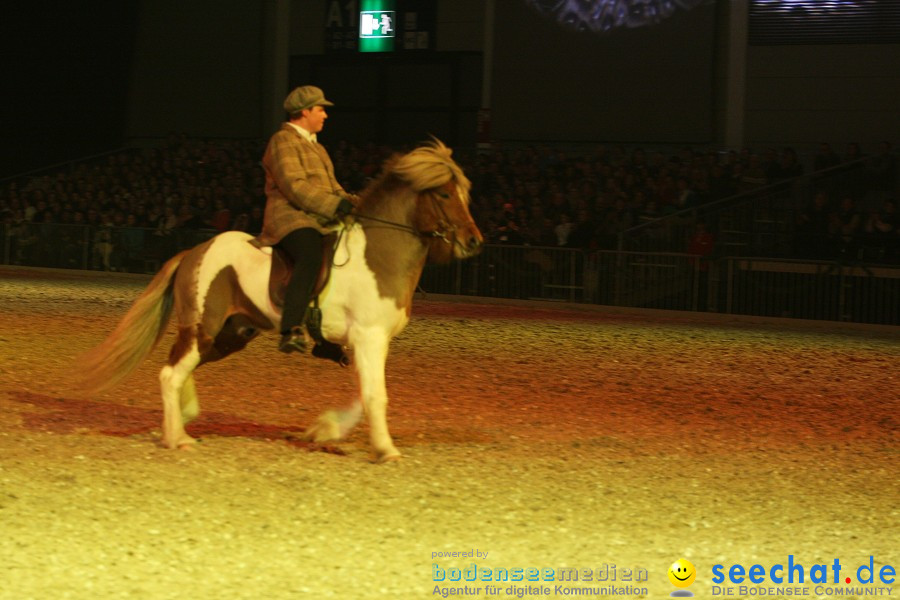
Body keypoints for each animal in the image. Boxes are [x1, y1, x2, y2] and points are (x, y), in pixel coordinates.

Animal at [77, 138, 482, 462]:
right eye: (445, 194)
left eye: (466, 194)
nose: (474, 241)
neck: (377, 254)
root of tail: (195, 250)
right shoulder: (369, 336)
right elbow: (375, 395)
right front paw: (386, 450)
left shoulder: (365, 341)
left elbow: (364, 393)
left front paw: (326, 429)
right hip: (205, 326)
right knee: (171, 373)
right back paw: (177, 437)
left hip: (230, 334)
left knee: (181, 368)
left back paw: (183, 418)